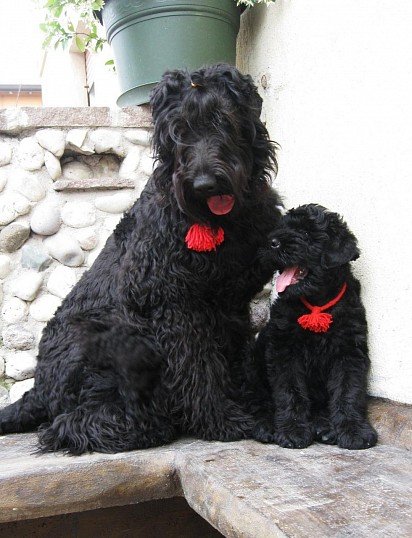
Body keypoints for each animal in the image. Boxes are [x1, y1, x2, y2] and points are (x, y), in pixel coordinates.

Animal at [0, 66, 282, 452]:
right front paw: (220, 420)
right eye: (178, 131)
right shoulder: (173, 304)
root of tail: (38, 390)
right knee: (65, 424)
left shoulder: (231, 302)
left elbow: (235, 357)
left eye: (223, 120)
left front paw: (249, 404)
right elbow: (197, 366)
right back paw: (148, 425)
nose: (205, 185)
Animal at [256, 204, 378, 448]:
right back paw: (268, 426)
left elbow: (348, 391)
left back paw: (325, 427)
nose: (271, 242)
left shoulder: (349, 352)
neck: (317, 304)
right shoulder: (284, 351)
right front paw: (292, 430)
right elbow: (290, 391)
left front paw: (354, 430)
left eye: (305, 234)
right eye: (282, 227)